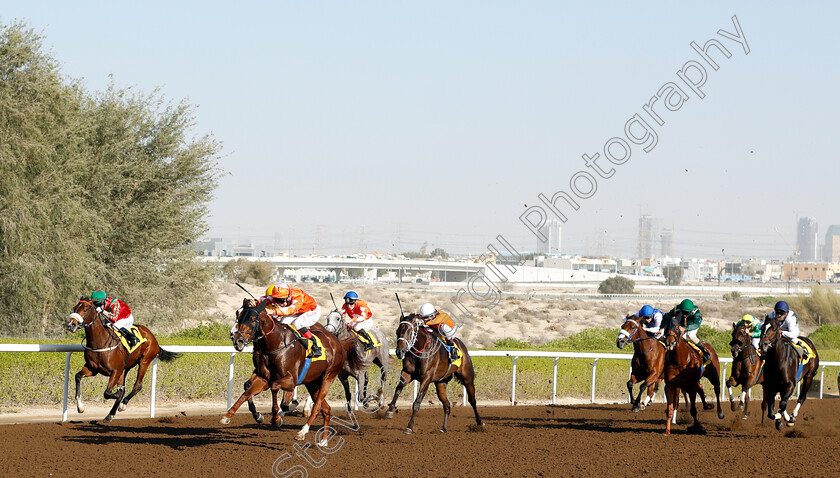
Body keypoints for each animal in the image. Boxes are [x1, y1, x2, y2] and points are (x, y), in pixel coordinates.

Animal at [220, 302, 348, 444]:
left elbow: (275, 387)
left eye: (253, 319)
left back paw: (302, 432)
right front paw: (229, 415)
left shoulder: (291, 380)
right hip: (312, 382)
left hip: (328, 376)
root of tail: (337, 342)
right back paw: (323, 441)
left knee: (317, 406)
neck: (276, 343)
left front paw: (277, 418)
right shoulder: (263, 378)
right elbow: (246, 393)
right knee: (326, 409)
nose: (237, 339)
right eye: (239, 316)